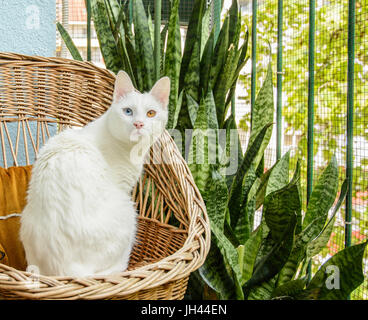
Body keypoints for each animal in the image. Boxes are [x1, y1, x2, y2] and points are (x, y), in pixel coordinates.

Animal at [19, 71, 170, 276]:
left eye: (151, 113)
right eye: (128, 111)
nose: (138, 124)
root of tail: (66, 270)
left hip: (25, 220)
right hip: (129, 211)